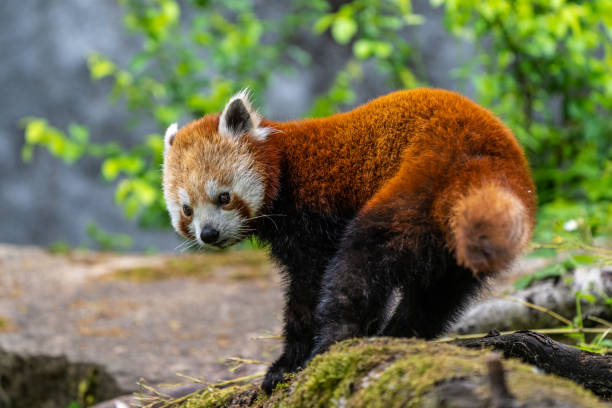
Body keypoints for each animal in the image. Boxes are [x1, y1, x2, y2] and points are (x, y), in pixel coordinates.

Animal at [161, 88, 536, 392]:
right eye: (187, 210)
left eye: (223, 197)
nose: (209, 234)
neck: (284, 165)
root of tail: (480, 163)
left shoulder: (314, 218)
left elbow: (309, 290)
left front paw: (286, 364)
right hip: (460, 239)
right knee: (436, 295)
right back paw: (397, 336)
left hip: (416, 184)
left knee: (360, 265)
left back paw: (334, 344)